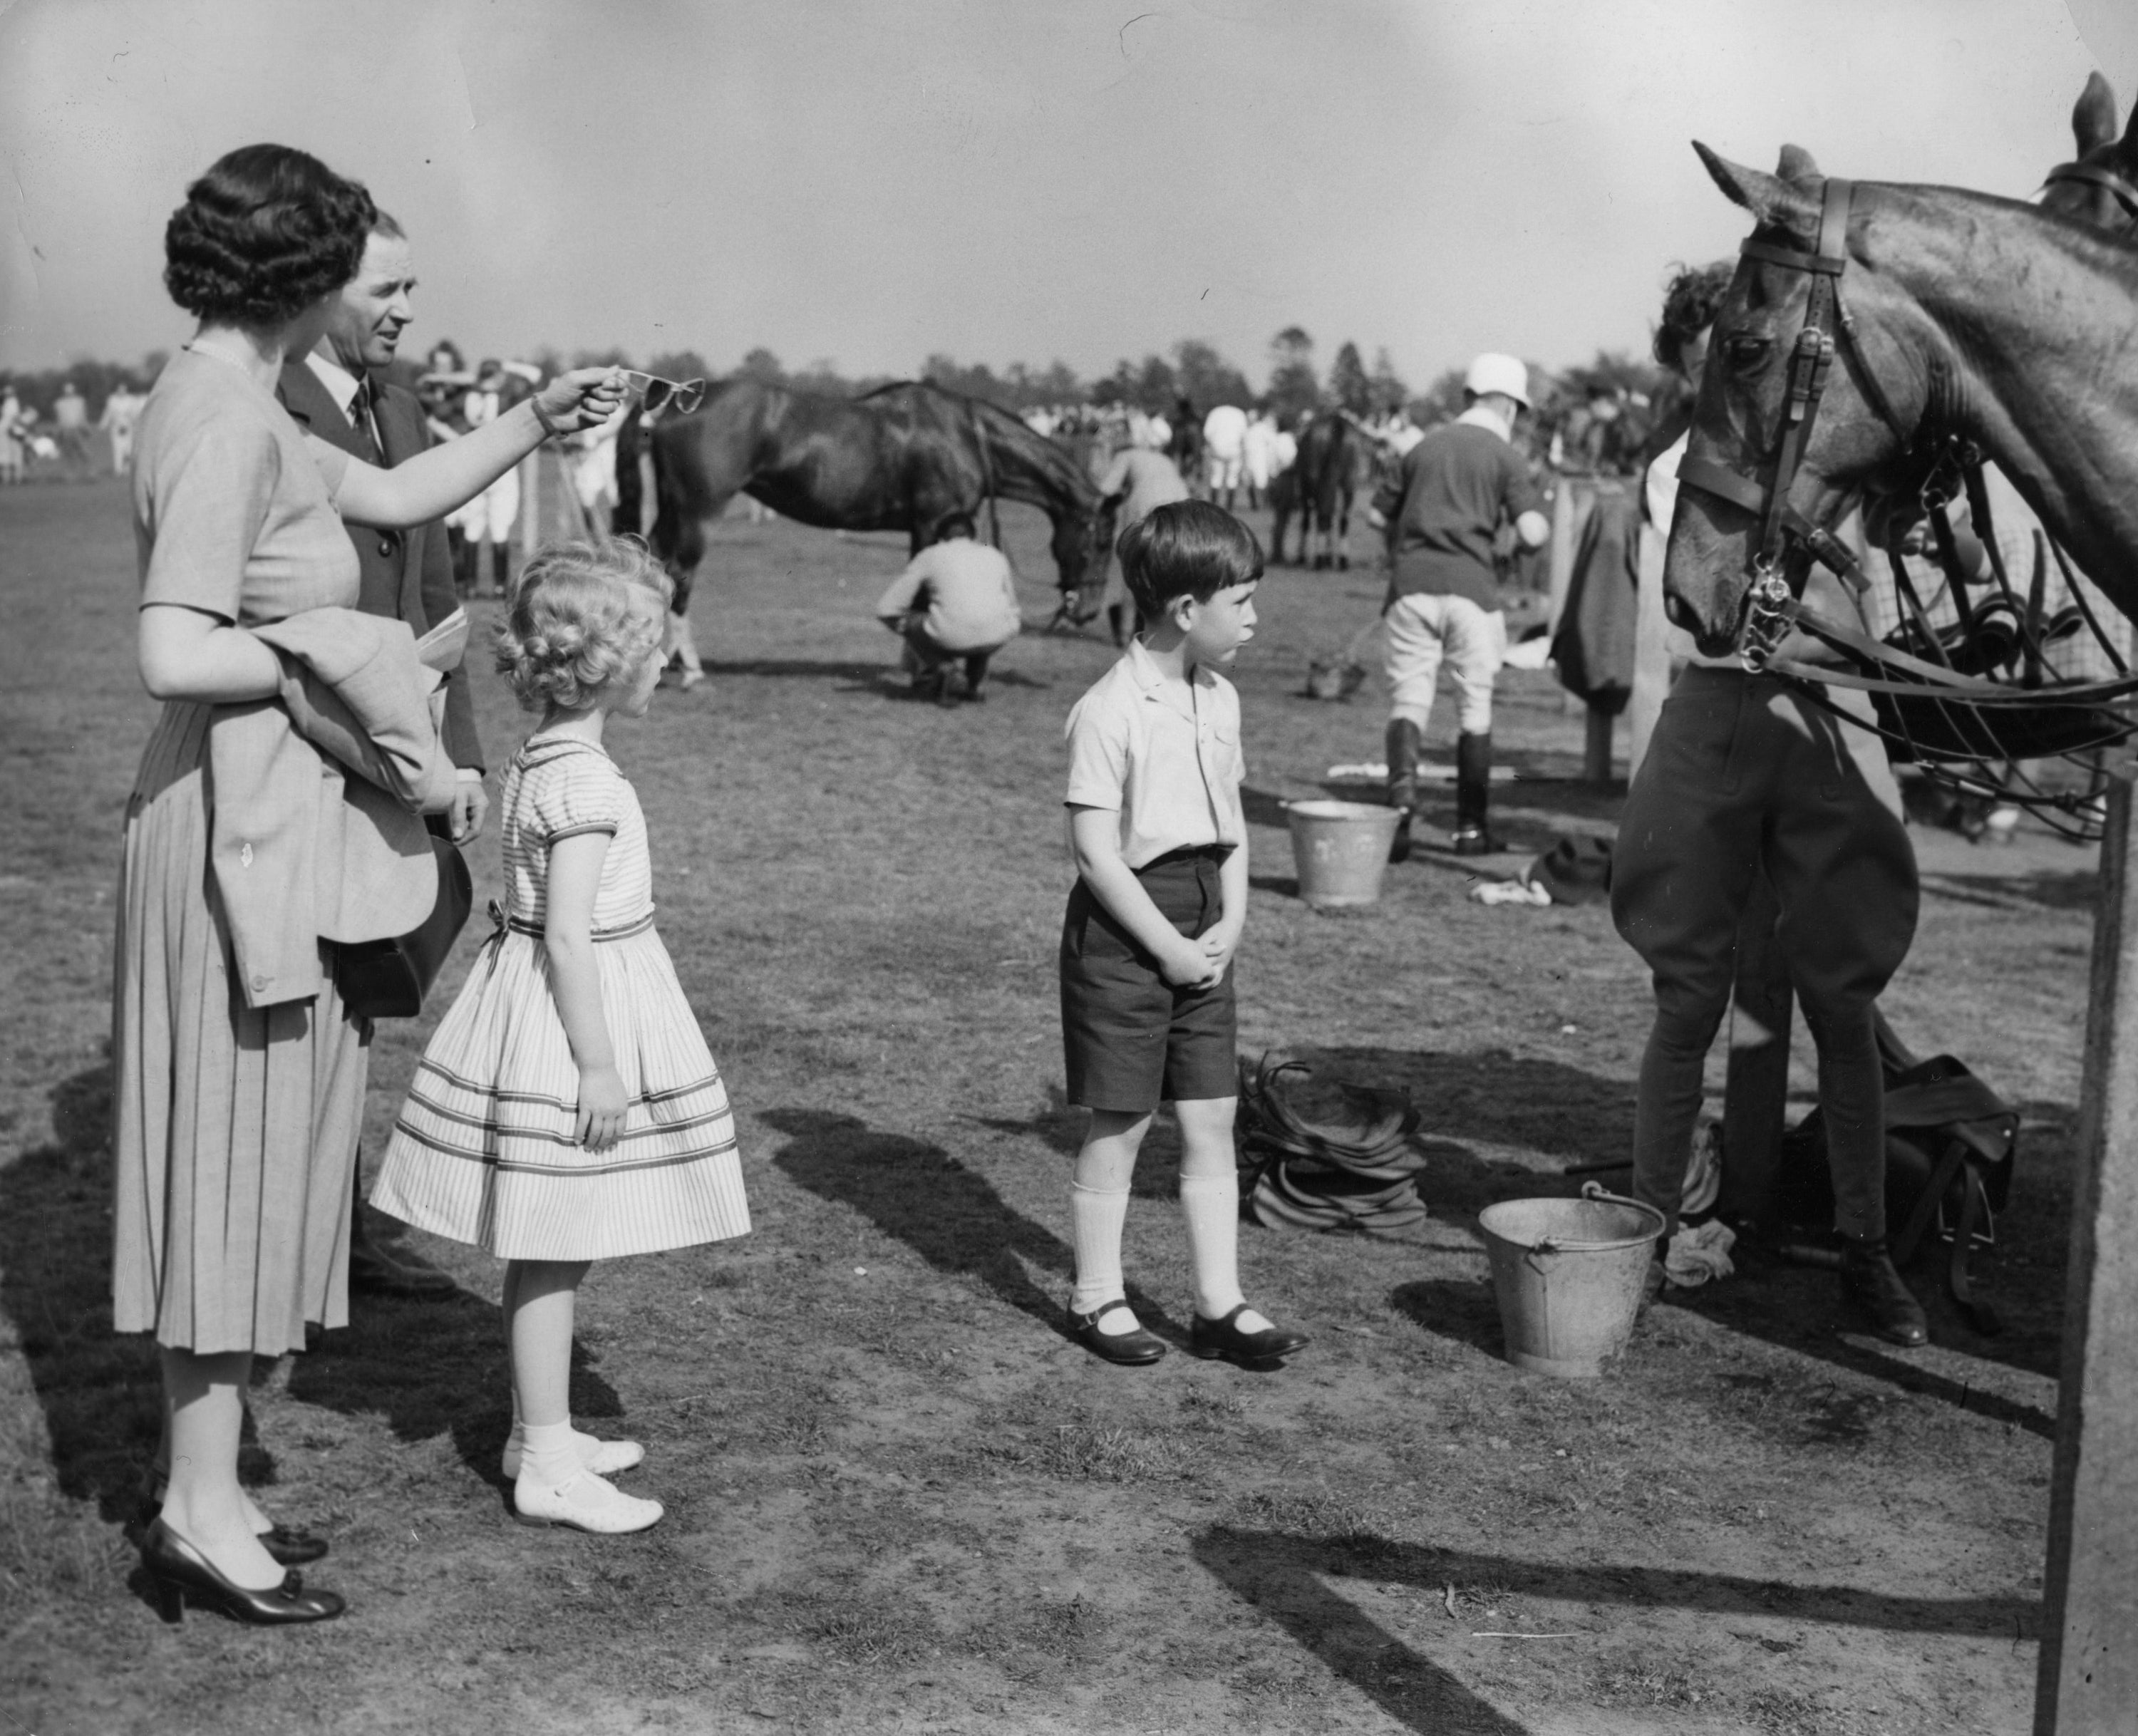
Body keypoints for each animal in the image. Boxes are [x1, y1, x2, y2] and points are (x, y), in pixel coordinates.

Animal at [620, 374, 1120, 624]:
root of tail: (675, 400)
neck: (965, 434)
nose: (1087, 611)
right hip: (697, 514)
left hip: (673, 510)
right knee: (678, 573)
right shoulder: (932, 524)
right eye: (1100, 543)